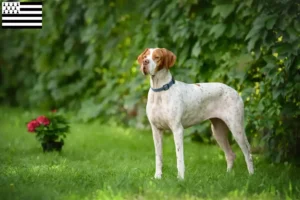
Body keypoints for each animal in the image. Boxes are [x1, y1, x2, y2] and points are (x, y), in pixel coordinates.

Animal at [137, 47, 254, 180]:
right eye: (145, 56)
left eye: (157, 57)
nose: (145, 62)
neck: (160, 91)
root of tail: (235, 91)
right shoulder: (156, 130)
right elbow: (159, 157)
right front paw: (157, 177)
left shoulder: (177, 129)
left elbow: (179, 158)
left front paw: (180, 178)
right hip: (218, 131)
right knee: (230, 154)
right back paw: (228, 175)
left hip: (236, 128)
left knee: (248, 153)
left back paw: (251, 175)